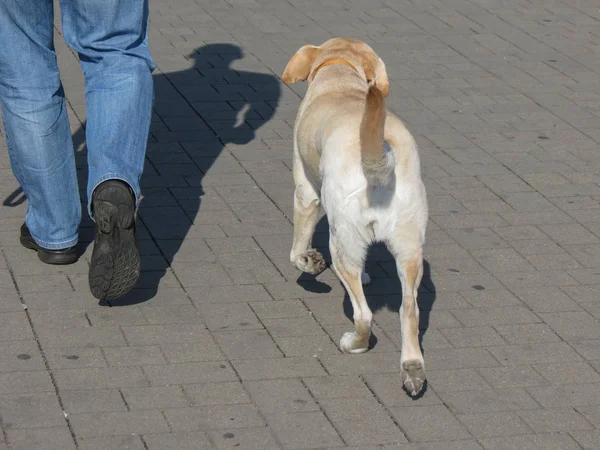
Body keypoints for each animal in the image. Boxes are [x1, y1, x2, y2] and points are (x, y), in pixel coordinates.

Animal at [282, 39, 428, 398]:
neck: (340, 75)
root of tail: (379, 160)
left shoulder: (306, 194)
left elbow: (296, 251)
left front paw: (310, 262)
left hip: (341, 242)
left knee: (364, 314)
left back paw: (354, 343)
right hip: (410, 250)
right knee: (409, 309)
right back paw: (412, 369)